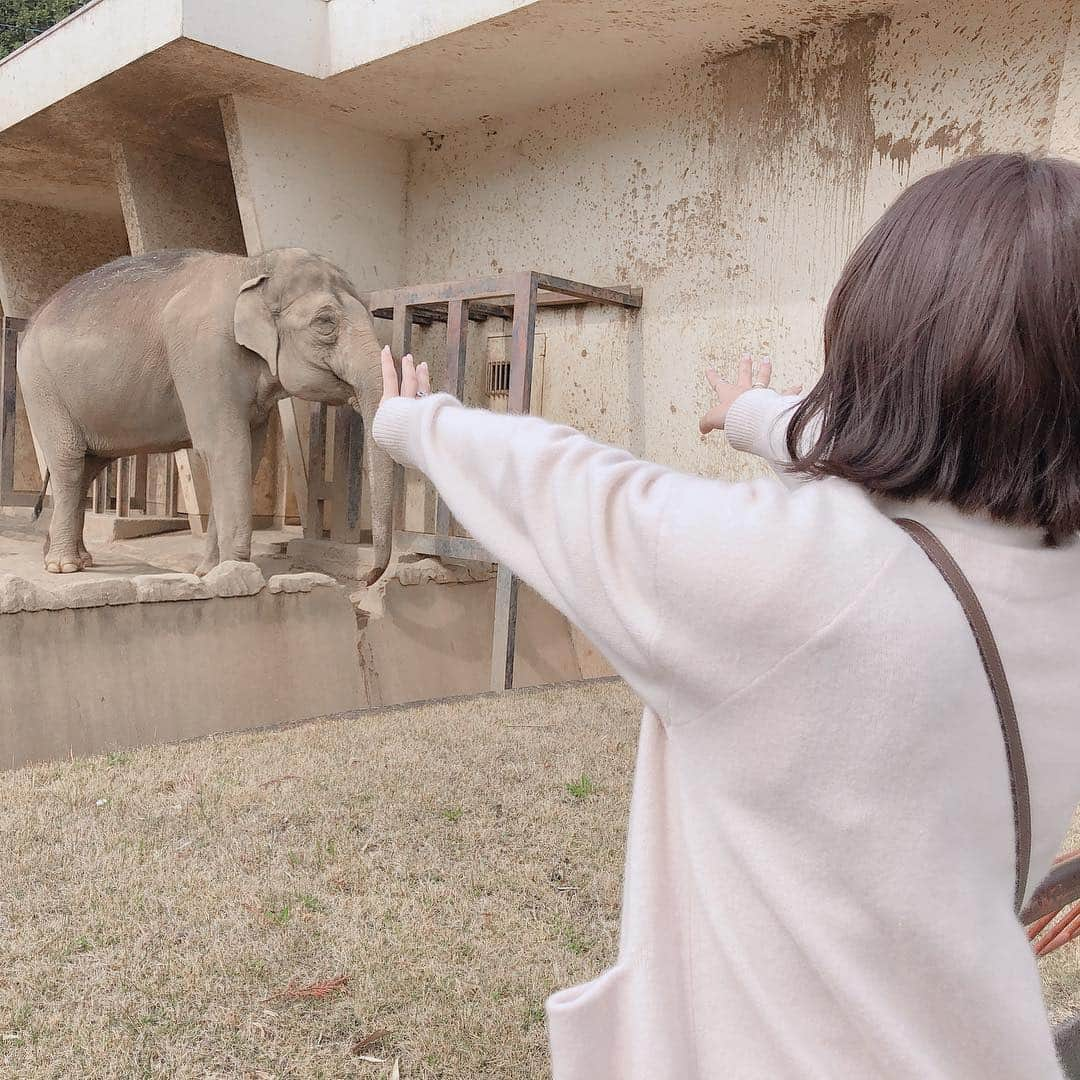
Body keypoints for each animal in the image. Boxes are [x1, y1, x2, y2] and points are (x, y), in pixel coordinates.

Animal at [19, 247, 393, 583]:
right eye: (325, 322)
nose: (368, 577)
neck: (253, 268)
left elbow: (249, 454)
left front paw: (210, 571)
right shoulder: (204, 353)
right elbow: (227, 448)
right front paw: (240, 572)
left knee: (88, 466)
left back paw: (76, 559)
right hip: (42, 388)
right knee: (69, 461)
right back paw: (64, 567)